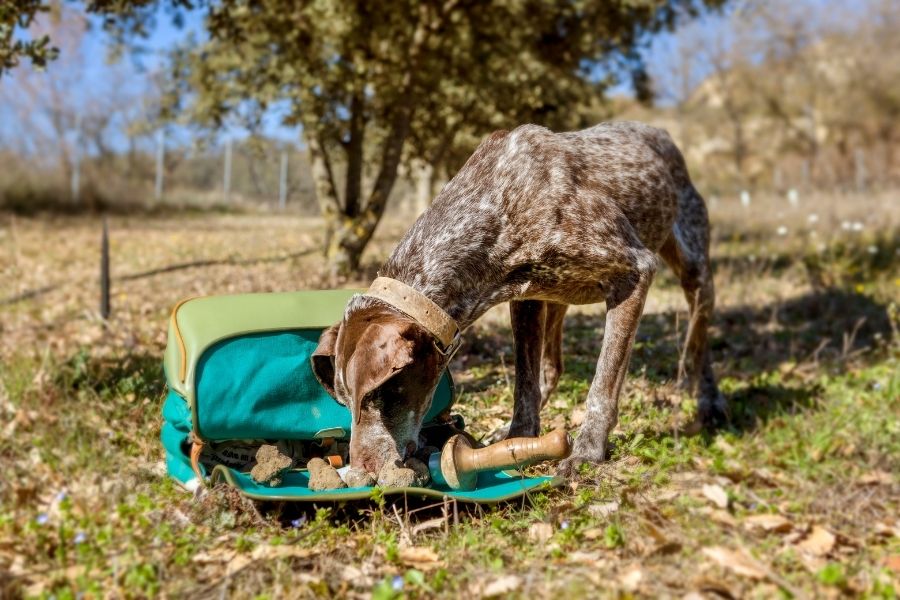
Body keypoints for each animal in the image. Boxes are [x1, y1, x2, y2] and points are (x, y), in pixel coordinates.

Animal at [312, 120, 728, 478]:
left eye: (378, 395)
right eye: (345, 401)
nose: (362, 470)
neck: (496, 202)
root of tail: (660, 134)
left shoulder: (635, 272)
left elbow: (603, 384)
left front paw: (588, 450)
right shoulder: (526, 300)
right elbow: (525, 386)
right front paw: (519, 439)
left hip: (694, 270)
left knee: (699, 341)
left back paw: (707, 403)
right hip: (558, 295)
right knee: (552, 367)